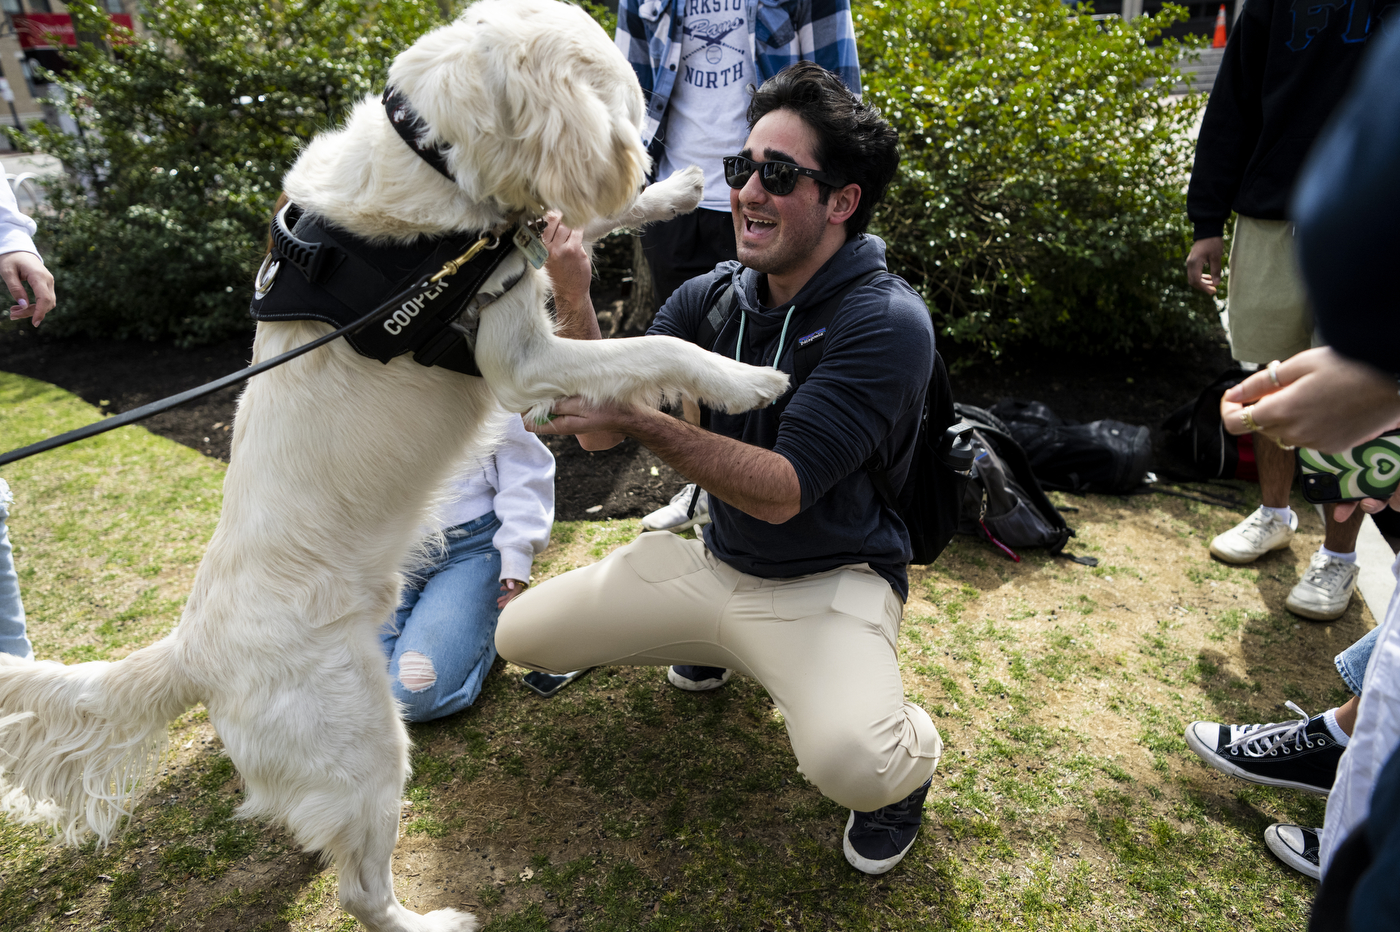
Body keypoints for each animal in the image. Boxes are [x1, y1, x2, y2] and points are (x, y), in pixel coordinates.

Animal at [0, 1, 789, 929]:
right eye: (628, 100)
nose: (658, 154)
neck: (428, 155)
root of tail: (191, 649)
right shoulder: (518, 360)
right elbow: (663, 345)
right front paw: (746, 380)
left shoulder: (512, 252)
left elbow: (576, 228)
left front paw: (668, 192)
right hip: (367, 746)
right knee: (360, 888)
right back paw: (432, 920)